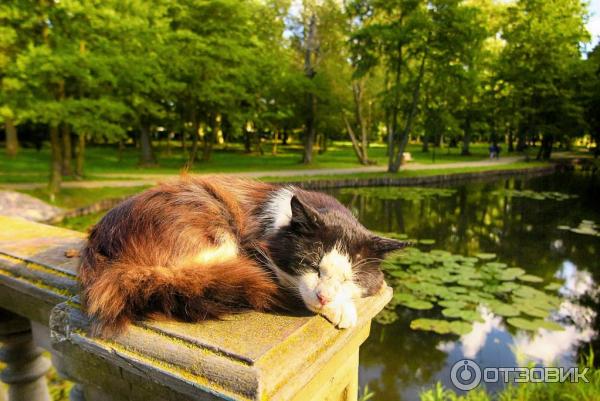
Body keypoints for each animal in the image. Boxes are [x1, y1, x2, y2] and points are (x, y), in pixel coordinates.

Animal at [78, 177, 408, 336]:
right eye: (311, 265)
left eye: (348, 278)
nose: (324, 297)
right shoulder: (255, 249)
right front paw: (342, 311)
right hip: (213, 216)